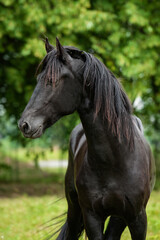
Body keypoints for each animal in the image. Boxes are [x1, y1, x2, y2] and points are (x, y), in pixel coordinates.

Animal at [18, 38, 155, 239]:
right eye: (38, 80)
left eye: (52, 81)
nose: (24, 124)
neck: (116, 159)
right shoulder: (91, 217)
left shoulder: (137, 218)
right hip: (75, 210)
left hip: (118, 218)